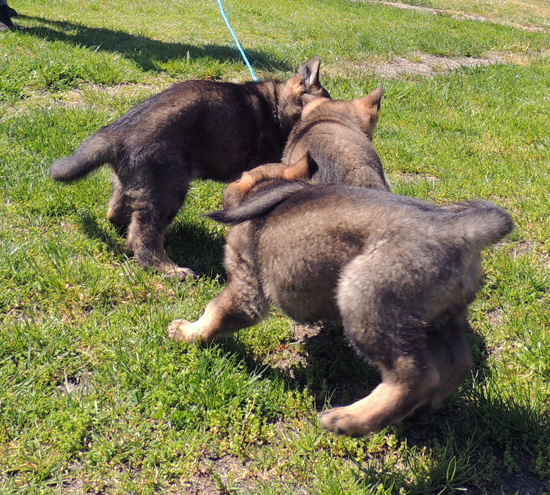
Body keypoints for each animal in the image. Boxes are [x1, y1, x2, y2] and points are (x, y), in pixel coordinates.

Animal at [50, 56, 332, 280]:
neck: (276, 106)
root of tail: (117, 132)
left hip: (135, 182)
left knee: (118, 214)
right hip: (168, 188)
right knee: (143, 234)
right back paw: (169, 269)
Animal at [170, 156, 516, 438]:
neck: (273, 188)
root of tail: (459, 230)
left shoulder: (245, 288)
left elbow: (215, 311)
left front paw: (187, 332)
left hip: (363, 297)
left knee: (415, 375)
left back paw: (350, 420)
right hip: (443, 318)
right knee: (458, 363)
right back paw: (417, 411)